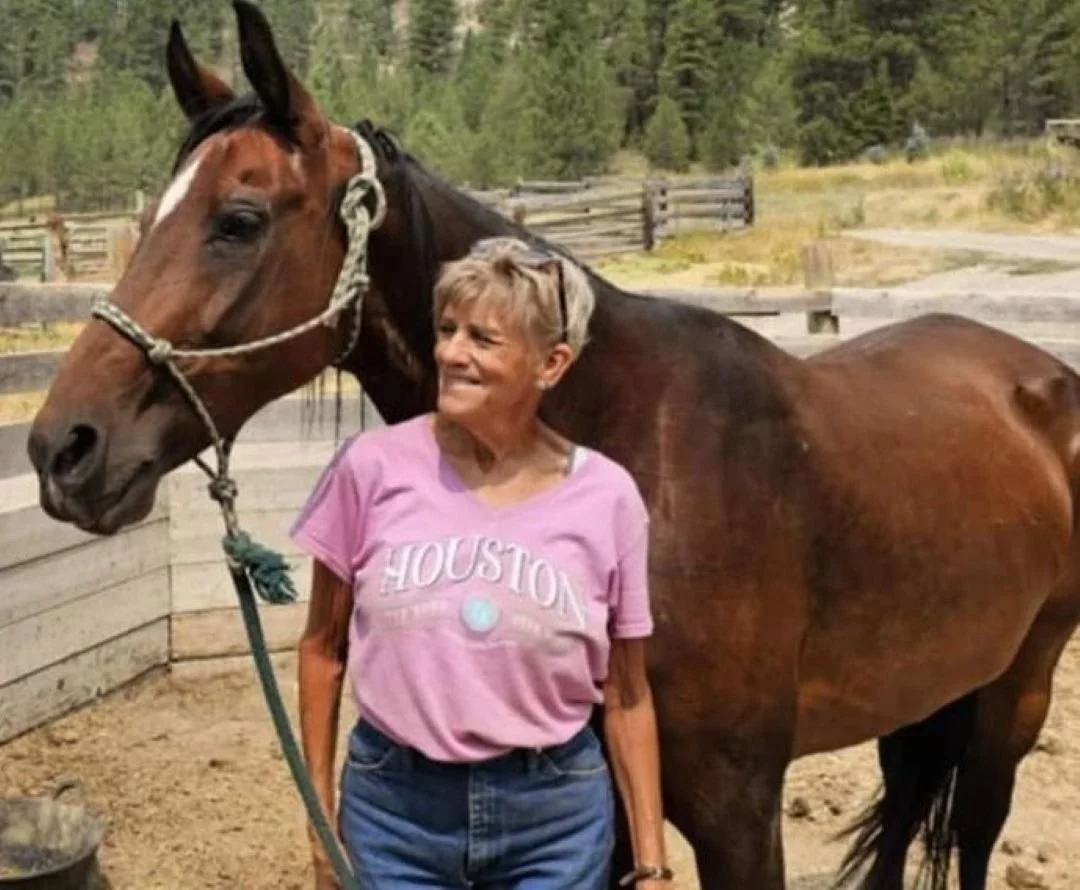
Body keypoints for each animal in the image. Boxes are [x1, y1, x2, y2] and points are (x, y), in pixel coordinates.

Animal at [25, 4, 1080, 888]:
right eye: (150, 217)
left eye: (238, 220)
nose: (61, 448)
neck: (637, 443)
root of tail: (1037, 375)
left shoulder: (738, 808)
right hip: (926, 690)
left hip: (1016, 689)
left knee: (974, 830)